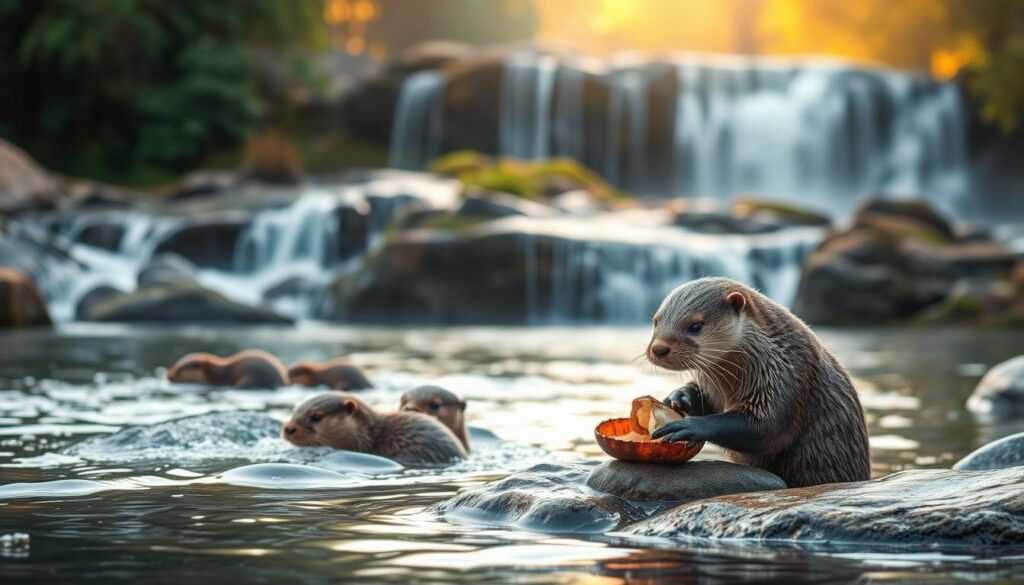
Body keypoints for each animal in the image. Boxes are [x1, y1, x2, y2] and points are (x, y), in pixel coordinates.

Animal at [646, 277, 870, 487]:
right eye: (656, 321)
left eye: (695, 326)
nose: (658, 348)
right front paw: (679, 397)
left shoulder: (787, 377)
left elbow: (765, 429)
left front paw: (690, 426)